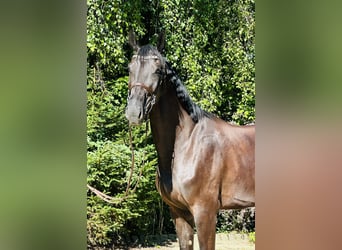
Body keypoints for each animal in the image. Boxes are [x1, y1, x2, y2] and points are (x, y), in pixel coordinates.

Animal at [125, 35, 254, 250]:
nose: (134, 112)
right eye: (130, 67)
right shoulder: (178, 212)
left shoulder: (205, 212)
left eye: (158, 70)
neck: (187, 145)